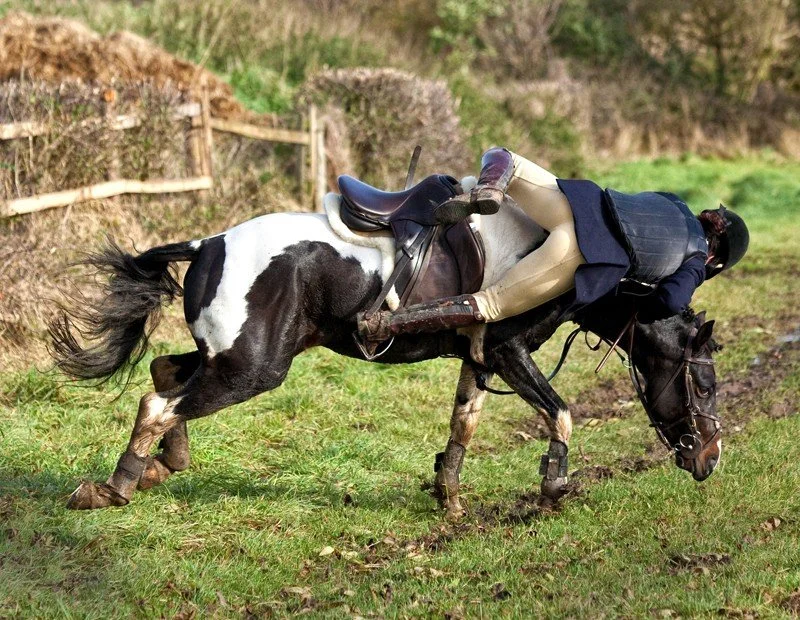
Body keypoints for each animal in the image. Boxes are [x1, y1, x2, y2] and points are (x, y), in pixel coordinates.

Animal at [50, 183, 722, 519]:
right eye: (705, 383)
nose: (710, 460)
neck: (565, 251)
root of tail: (208, 242)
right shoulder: (508, 351)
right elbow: (561, 412)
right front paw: (553, 487)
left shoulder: (481, 359)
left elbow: (462, 426)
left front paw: (449, 501)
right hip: (252, 368)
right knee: (157, 403)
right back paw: (113, 488)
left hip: (229, 357)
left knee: (165, 373)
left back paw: (164, 465)